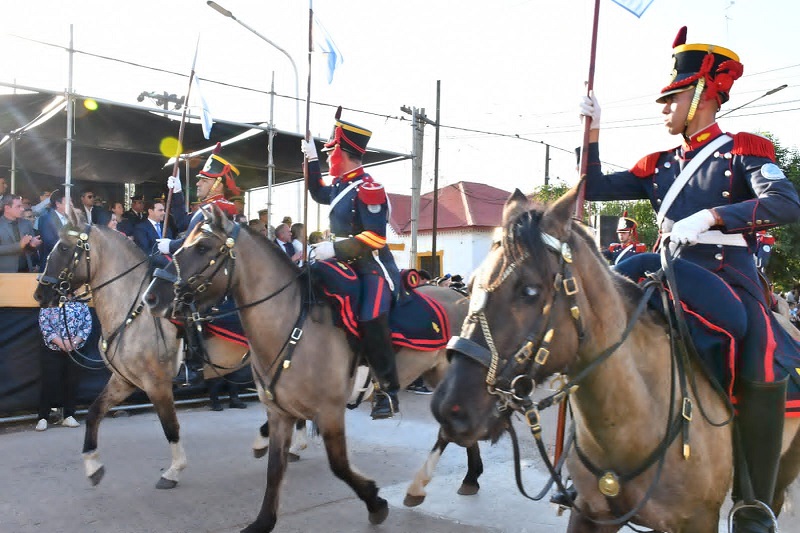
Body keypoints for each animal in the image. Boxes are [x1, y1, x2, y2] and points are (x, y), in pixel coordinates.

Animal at [33, 214, 296, 488]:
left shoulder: (156, 383)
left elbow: (170, 426)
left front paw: (174, 470)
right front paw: (92, 465)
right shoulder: (124, 380)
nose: (40, 293)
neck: (133, 310)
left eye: (64, 248)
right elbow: (95, 412)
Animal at [142, 206, 482, 532]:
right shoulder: (279, 413)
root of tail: (463, 296)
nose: (152, 296)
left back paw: (419, 486)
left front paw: (376, 503)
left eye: (202, 246)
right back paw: (467, 478)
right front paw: (263, 521)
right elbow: (275, 470)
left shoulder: (329, 411)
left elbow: (339, 465)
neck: (292, 326)